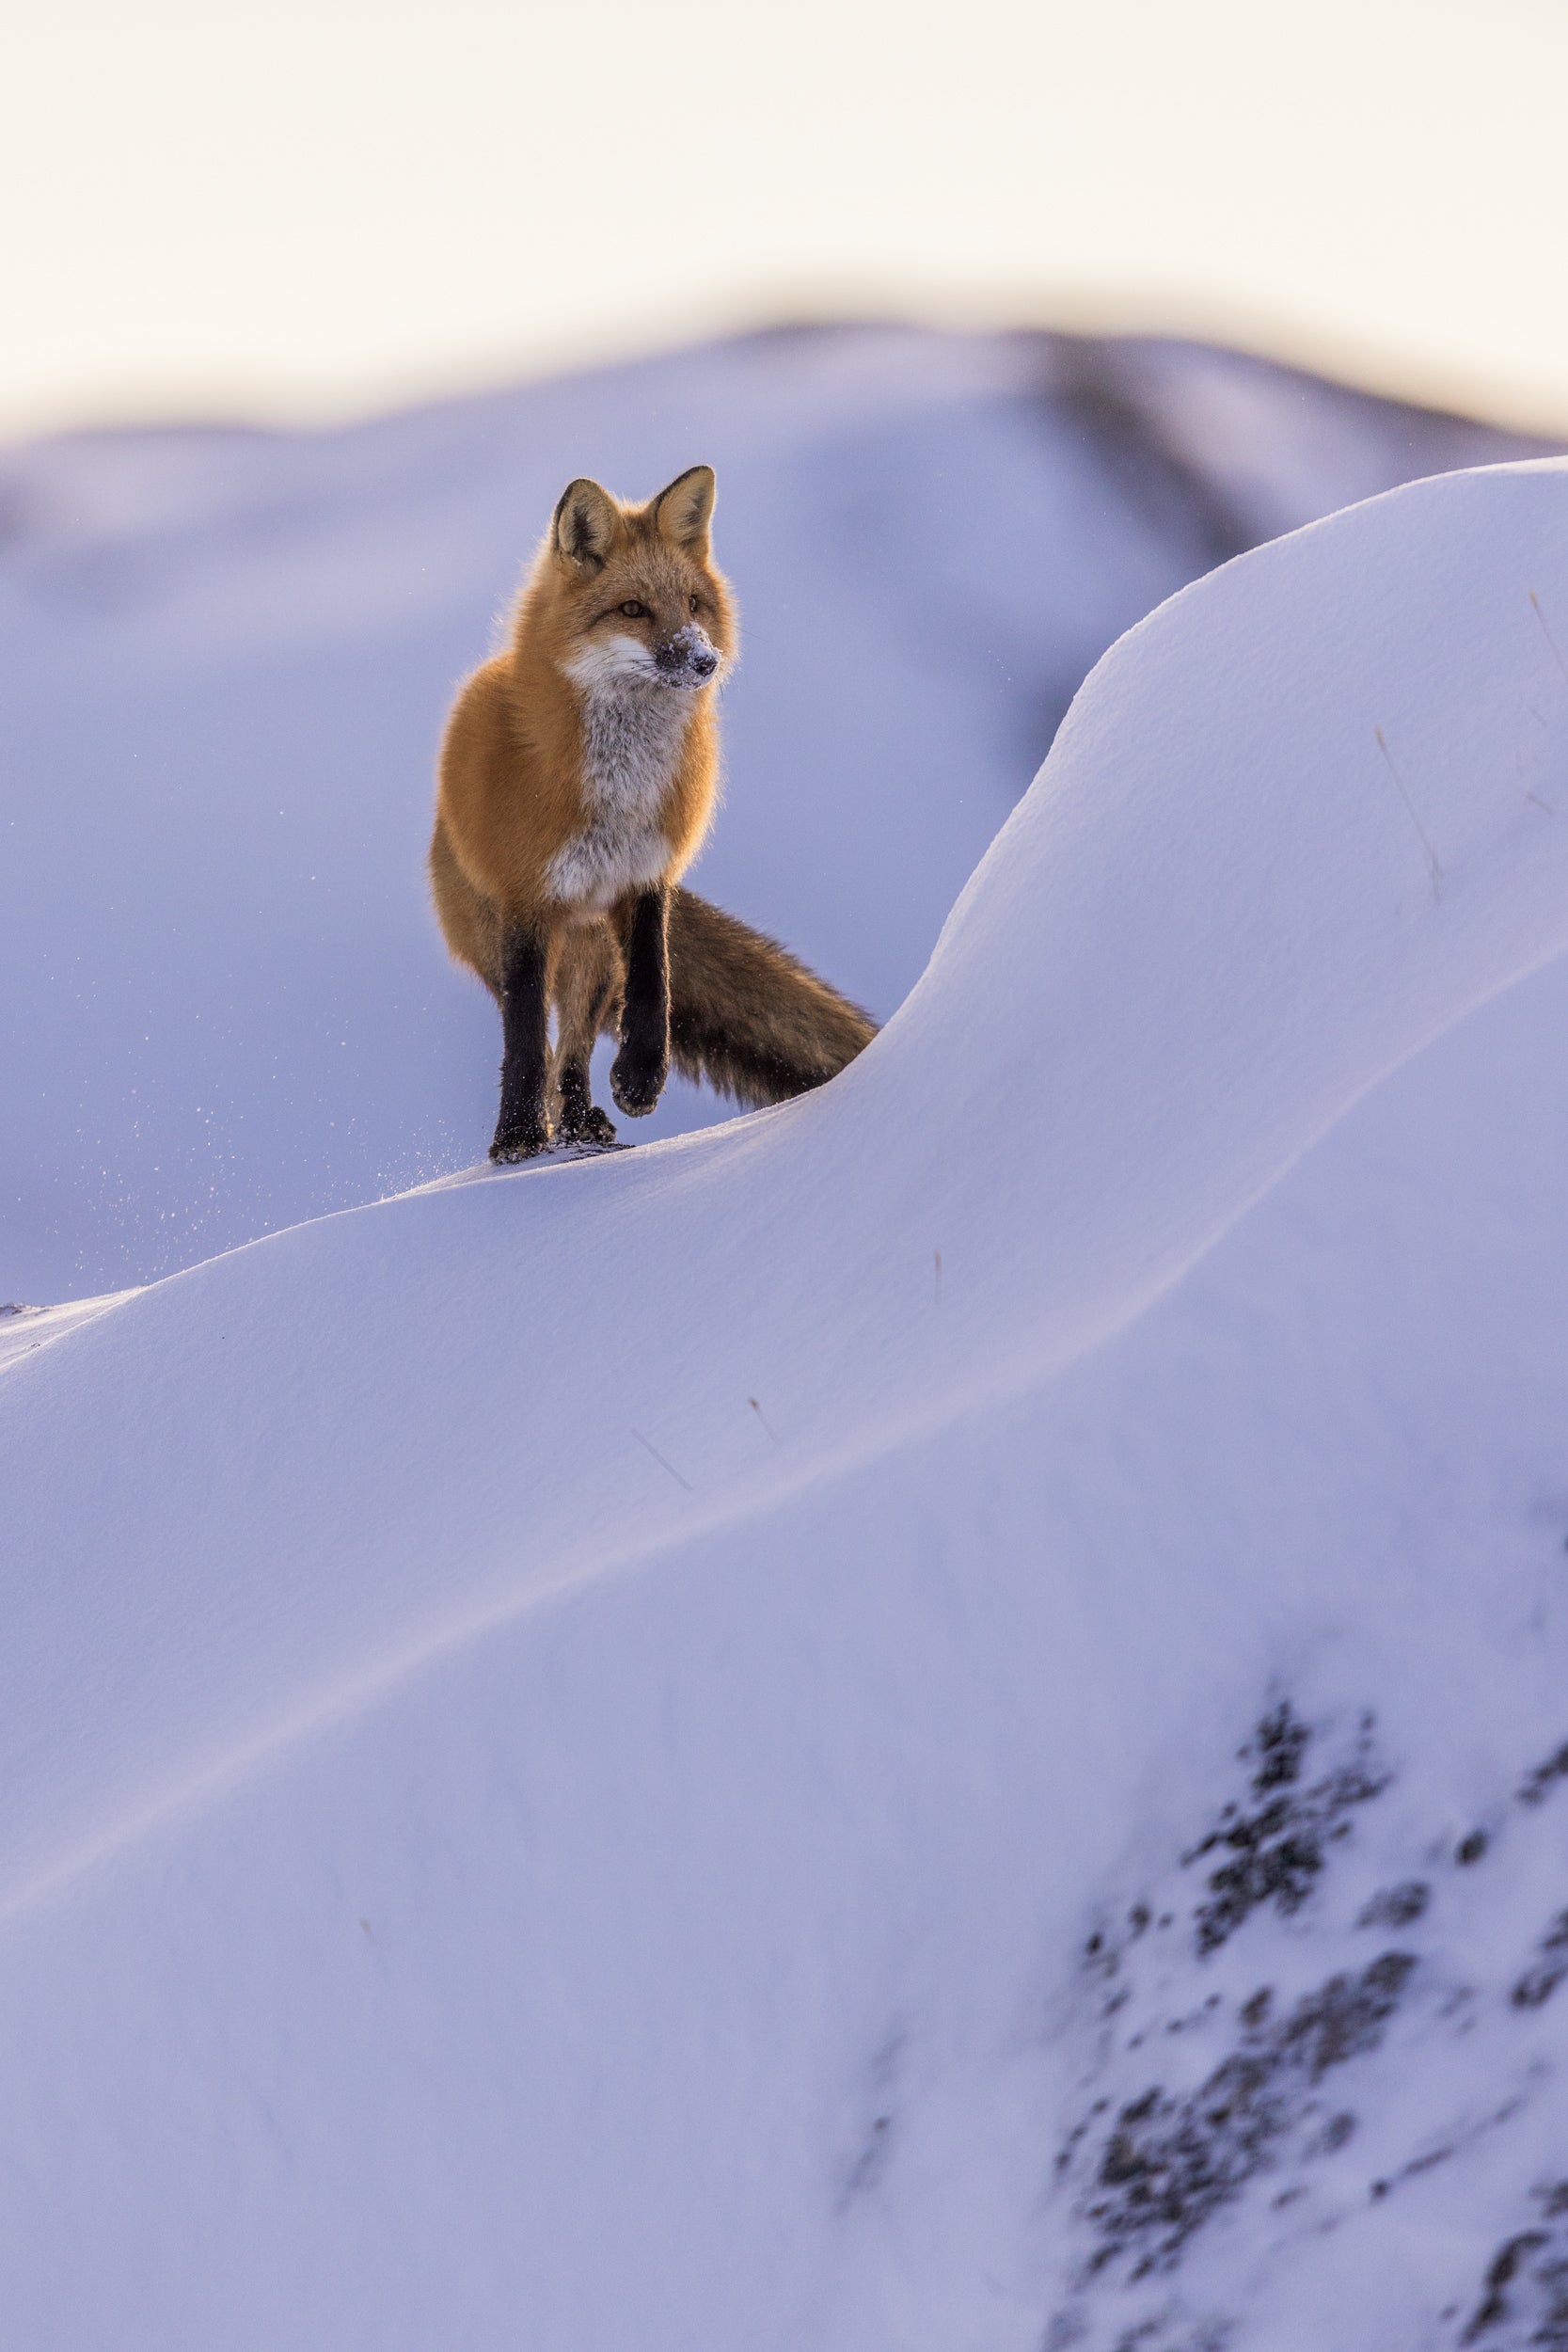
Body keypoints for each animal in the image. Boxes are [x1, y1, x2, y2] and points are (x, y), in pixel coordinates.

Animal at [430, 464, 876, 1160]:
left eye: (693, 604)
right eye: (632, 609)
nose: (703, 660)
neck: (619, 797)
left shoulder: (645, 877)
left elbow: (653, 985)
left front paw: (640, 1079)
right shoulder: (526, 901)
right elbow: (525, 1037)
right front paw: (518, 1135)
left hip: (591, 960)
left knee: (576, 1047)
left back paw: (581, 1122)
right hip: (508, 940)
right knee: (544, 1040)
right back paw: (551, 1127)